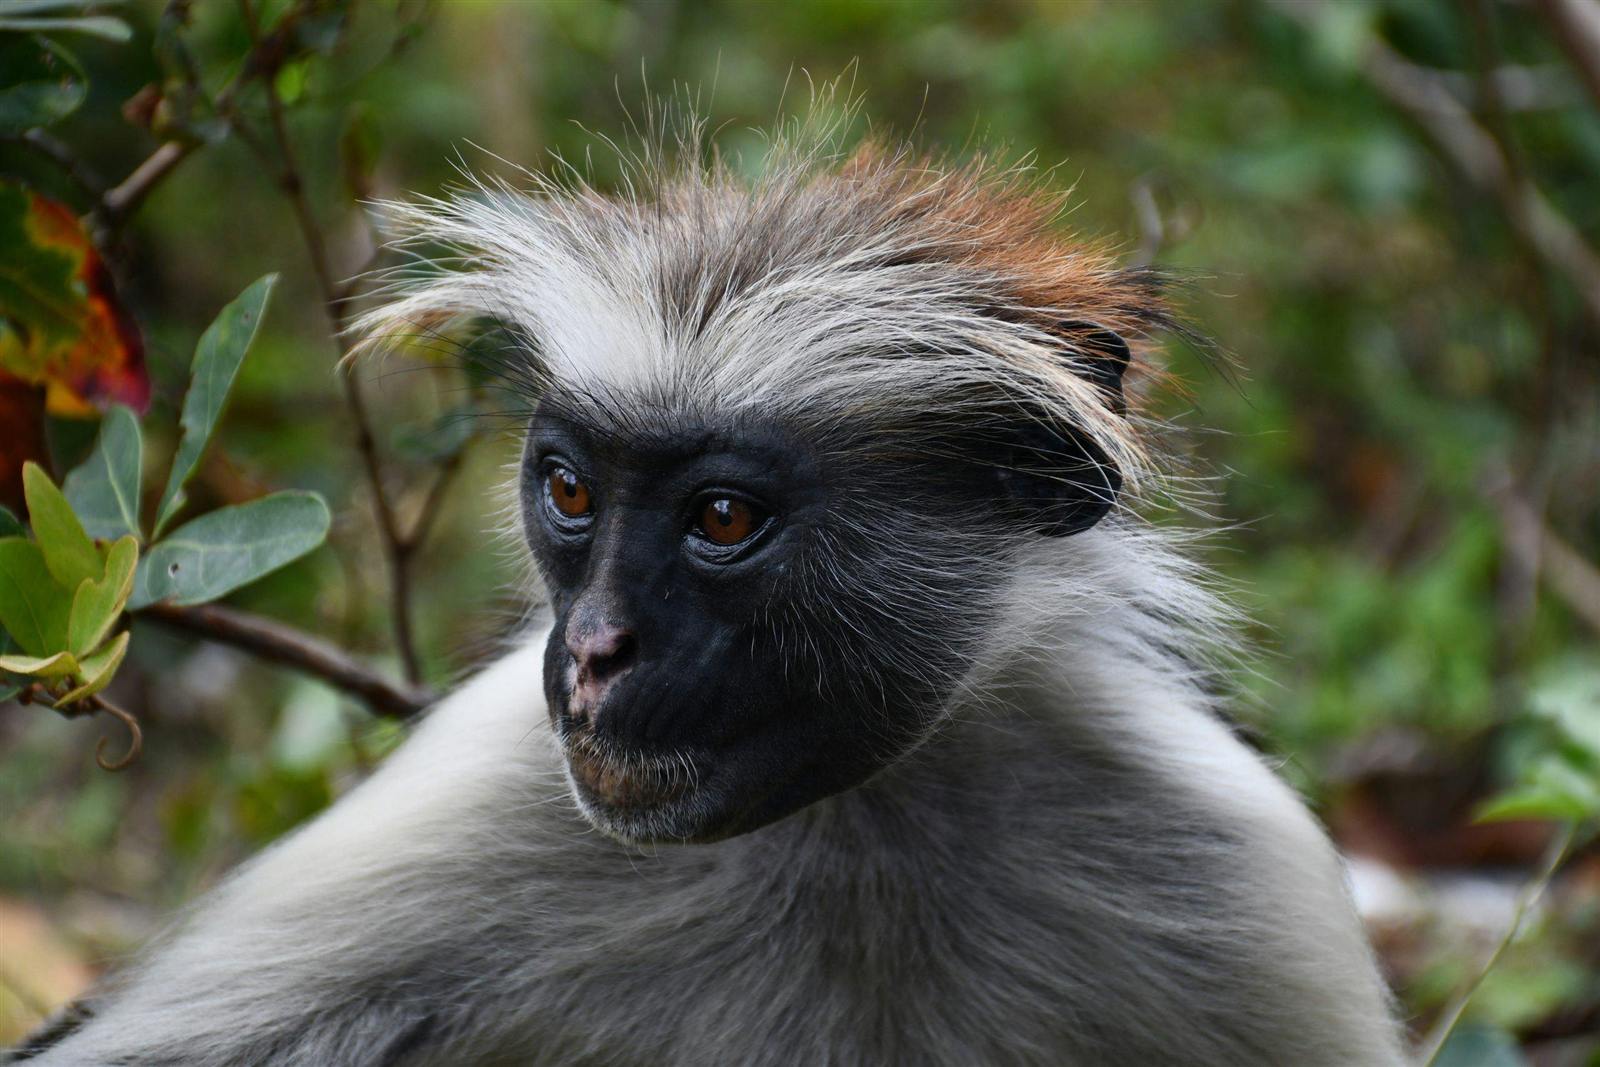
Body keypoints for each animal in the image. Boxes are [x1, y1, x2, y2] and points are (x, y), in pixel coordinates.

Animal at [9, 119, 1409, 1066]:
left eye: (722, 520)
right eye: (570, 491)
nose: (591, 650)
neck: (852, 816)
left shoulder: (1231, 876)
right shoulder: (473, 801)